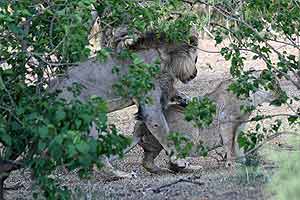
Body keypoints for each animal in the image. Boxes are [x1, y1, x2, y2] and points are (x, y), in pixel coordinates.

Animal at [48, 31, 199, 178]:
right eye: (196, 59)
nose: (195, 73)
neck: (165, 60)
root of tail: (52, 87)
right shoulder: (151, 108)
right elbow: (164, 133)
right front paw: (178, 161)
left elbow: (177, 93)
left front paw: (187, 100)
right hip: (88, 119)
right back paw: (121, 174)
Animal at [132, 77, 278, 172]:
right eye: (273, 84)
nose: (280, 92)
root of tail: (140, 123)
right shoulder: (227, 121)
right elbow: (229, 143)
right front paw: (232, 164)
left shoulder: (240, 123)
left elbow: (237, 143)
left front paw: (244, 162)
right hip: (189, 132)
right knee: (172, 160)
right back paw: (190, 167)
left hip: (154, 144)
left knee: (147, 162)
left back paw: (161, 170)